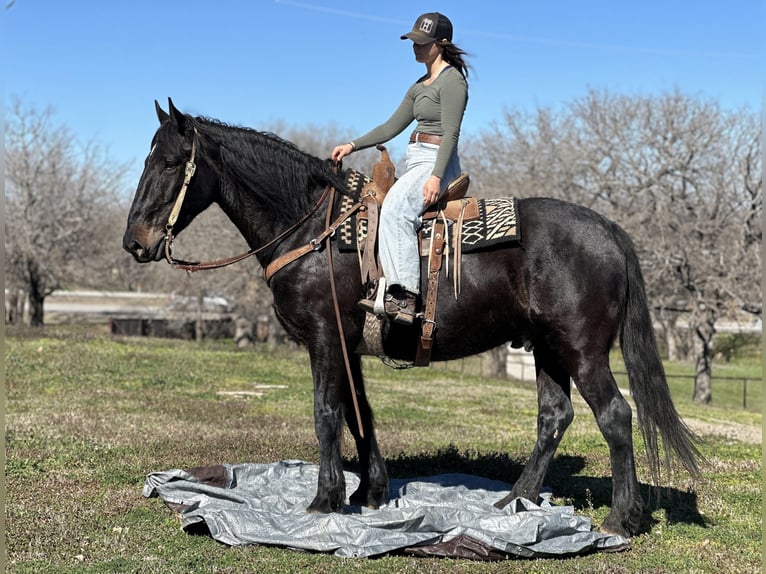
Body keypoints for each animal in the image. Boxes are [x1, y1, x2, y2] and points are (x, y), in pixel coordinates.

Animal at [121, 100, 704, 540]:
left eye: (170, 163)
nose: (135, 243)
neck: (312, 228)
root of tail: (609, 230)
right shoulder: (347, 345)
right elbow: (360, 414)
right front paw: (370, 492)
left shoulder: (324, 339)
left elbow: (326, 414)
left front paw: (325, 501)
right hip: (547, 349)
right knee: (554, 417)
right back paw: (515, 502)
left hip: (582, 350)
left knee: (615, 416)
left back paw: (621, 518)